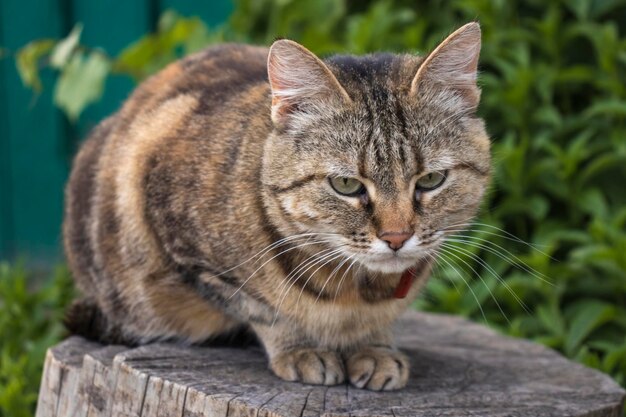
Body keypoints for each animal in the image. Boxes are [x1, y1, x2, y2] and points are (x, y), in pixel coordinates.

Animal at [63, 21, 490, 388]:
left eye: (431, 180)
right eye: (346, 184)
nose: (397, 237)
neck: (356, 291)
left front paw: (375, 346)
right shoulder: (190, 254)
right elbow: (264, 310)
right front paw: (301, 349)